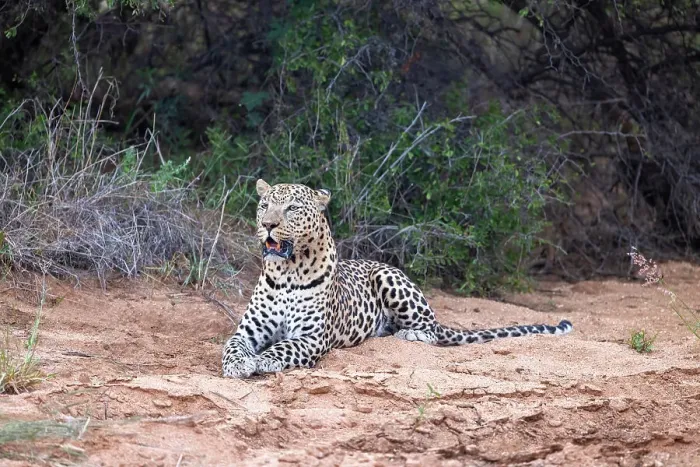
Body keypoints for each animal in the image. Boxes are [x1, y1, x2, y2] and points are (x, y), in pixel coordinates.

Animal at [221, 179, 573, 378]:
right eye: (264, 205)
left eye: (292, 208)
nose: (267, 224)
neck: (288, 272)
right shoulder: (246, 332)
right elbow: (233, 347)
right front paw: (238, 365)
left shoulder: (311, 337)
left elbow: (282, 348)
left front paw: (263, 362)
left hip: (389, 277)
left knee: (432, 330)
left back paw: (410, 334)